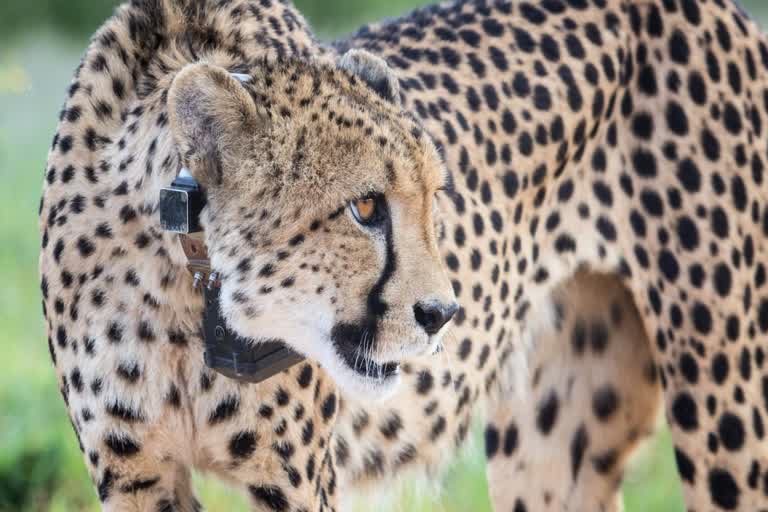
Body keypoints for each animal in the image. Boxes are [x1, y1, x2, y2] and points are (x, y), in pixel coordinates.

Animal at [38, 0, 768, 511]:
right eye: (365, 208)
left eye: (432, 200)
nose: (442, 313)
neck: (175, 280)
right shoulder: (135, 474)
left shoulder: (293, 480)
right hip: (551, 444)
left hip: (728, 416)